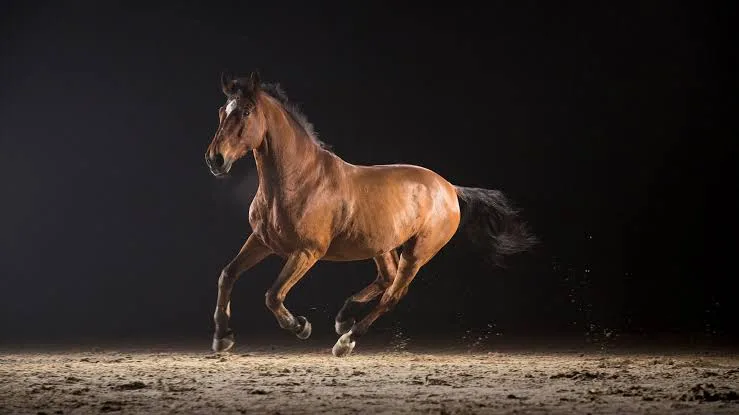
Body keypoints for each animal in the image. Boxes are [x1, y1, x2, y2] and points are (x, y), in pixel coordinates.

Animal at [204, 71, 537, 357]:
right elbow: (226, 274)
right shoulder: (262, 241)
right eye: (222, 111)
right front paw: (222, 338)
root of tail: (449, 189)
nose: (215, 160)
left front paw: (300, 326)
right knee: (386, 278)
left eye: (246, 111)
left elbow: (273, 295)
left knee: (393, 294)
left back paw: (346, 340)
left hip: (417, 252)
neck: (299, 180)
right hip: (382, 245)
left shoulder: (307, 252)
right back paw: (344, 317)